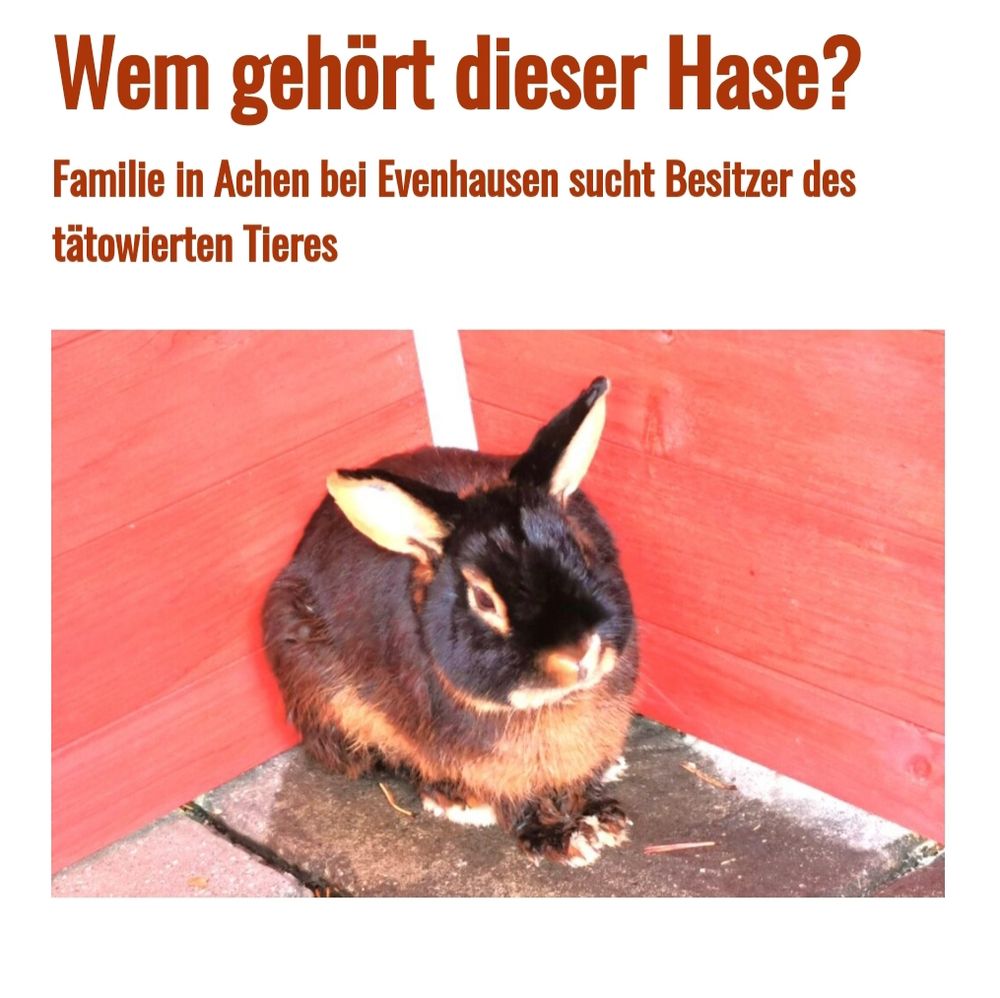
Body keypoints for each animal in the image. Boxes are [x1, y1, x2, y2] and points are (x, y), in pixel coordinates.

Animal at [263, 376, 638, 866]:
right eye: (482, 598)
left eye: (581, 550)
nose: (577, 652)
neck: (551, 704)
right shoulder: (486, 763)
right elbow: (515, 800)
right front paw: (561, 839)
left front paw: (600, 818)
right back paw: (455, 800)